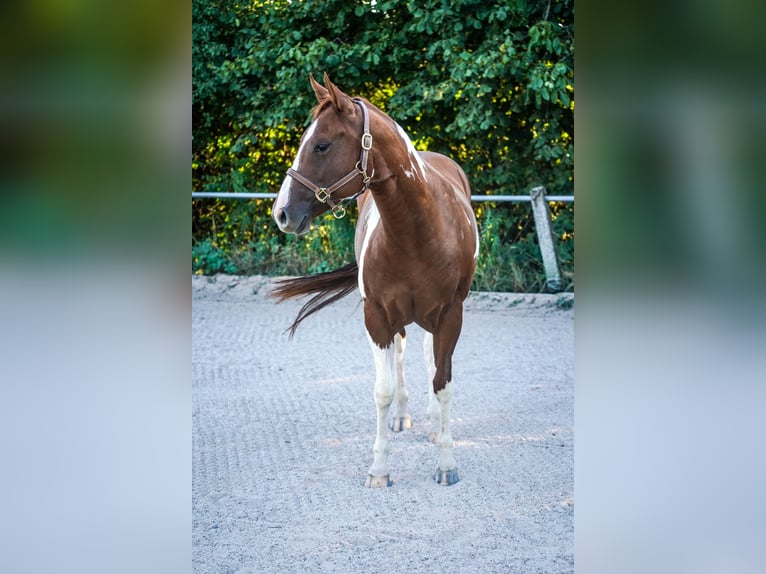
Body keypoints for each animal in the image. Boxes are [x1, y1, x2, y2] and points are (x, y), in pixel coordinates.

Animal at [271, 73, 478, 487]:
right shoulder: (377, 317)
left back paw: (434, 426)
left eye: (321, 144)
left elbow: (443, 383)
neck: (419, 232)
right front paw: (379, 469)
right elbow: (382, 390)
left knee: (429, 357)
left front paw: (446, 463)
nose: (281, 212)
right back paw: (402, 418)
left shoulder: (451, 315)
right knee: (400, 356)